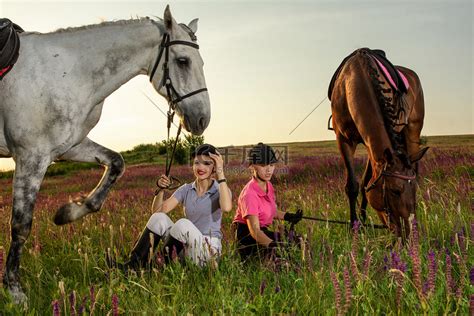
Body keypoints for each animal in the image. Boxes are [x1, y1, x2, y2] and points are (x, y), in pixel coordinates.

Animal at [0, 5, 211, 304]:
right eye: (182, 61)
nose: (203, 118)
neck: (66, 72)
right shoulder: (31, 157)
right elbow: (20, 225)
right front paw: (15, 290)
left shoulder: (69, 147)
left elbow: (116, 164)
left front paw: (68, 212)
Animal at [330, 48, 430, 238]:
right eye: (394, 191)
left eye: (413, 190)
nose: (409, 233)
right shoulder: (344, 139)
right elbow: (355, 185)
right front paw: (356, 226)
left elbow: (365, 183)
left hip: (413, 130)